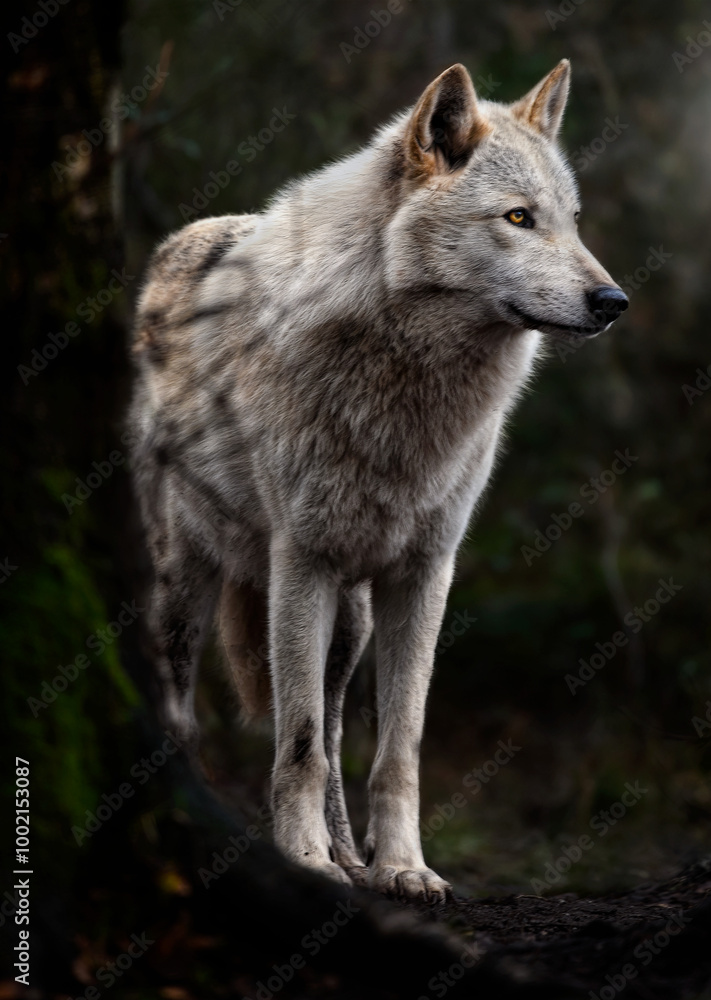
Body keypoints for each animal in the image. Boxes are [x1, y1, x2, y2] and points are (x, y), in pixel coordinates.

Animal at [129, 59, 628, 902]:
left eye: (571, 221)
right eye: (518, 218)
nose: (613, 301)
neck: (408, 389)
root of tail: (181, 242)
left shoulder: (424, 574)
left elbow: (394, 747)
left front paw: (400, 867)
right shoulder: (301, 564)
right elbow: (295, 740)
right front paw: (304, 861)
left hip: (351, 622)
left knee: (333, 728)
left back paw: (350, 854)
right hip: (185, 586)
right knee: (188, 709)